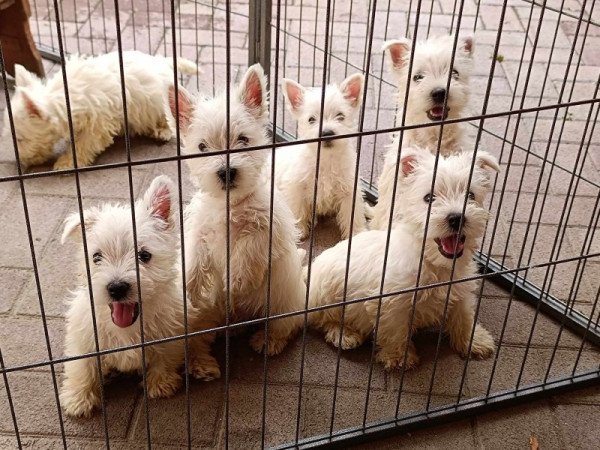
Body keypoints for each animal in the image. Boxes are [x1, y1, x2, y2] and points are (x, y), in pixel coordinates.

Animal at [4, 51, 199, 171]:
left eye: (20, 139)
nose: (20, 162)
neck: (65, 97)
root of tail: (161, 61)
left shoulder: (98, 125)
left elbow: (83, 145)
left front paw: (67, 162)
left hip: (157, 101)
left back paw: (161, 131)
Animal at [58, 176, 221, 418]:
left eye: (144, 255)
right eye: (96, 257)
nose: (116, 287)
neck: (129, 328)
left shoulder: (170, 330)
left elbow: (165, 356)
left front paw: (161, 383)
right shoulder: (84, 335)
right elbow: (82, 366)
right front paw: (79, 399)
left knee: (198, 342)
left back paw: (202, 365)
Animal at [169, 65, 308, 356]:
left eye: (243, 139)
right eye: (202, 147)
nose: (226, 172)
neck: (230, 205)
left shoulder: (269, 226)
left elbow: (250, 244)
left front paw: (239, 280)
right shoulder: (201, 230)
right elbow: (194, 257)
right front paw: (188, 287)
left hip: (284, 303)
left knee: (285, 325)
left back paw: (267, 341)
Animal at [276, 74, 370, 241]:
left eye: (340, 116)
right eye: (311, 119)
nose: (326, 133)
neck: (326, 159)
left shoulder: (349, 188)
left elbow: (352, 212)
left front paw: (357, 233)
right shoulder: (295, 186)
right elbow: (297, 209)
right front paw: (299, 231)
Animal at [308, 149, 500, 370]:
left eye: (471, 195)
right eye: (429, 198)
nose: (457, 218)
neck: (433, 262)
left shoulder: (461, 291)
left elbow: (464, 318)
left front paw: (475, 342)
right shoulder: (393, 302)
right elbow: (395, 330)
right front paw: (400, 358)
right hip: (327, 294)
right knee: (325, 319)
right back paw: (345, 334)